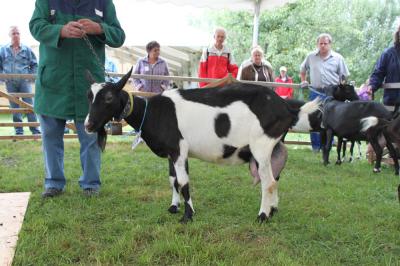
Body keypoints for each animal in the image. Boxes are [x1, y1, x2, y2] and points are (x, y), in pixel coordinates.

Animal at [83, 67, 318, 223]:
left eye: (109, 97)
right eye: (89, 96)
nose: (88, 125)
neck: (153, 112)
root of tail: (286, 107)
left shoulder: (179, 149)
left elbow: (184, 182)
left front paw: (188, 216)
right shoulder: (172, 152)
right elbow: (173, 180)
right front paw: (173, 207)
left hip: (261, 145)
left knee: (267, 181)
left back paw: (262, 216)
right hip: (274, 146)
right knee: (276, 177)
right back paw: (272, 209)